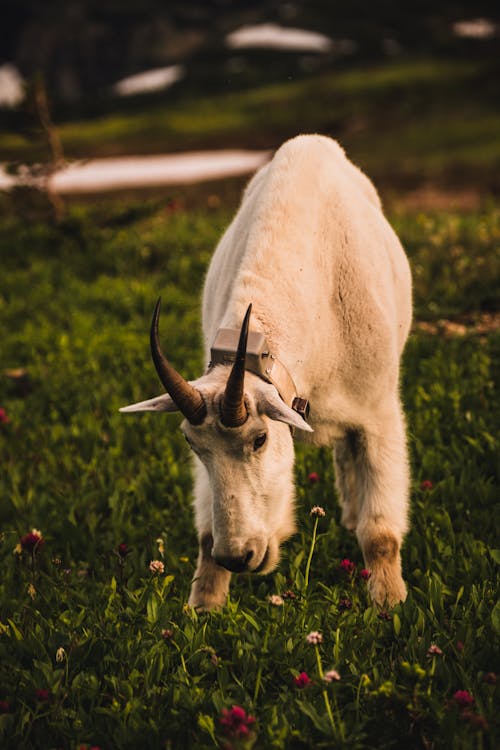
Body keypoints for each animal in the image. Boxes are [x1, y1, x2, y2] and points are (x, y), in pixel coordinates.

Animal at [120, 135, 410, 612]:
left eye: (260, 439)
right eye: (192, 443)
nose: (238, 556)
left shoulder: (378, 412)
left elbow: (381, 534)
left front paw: (389, 605)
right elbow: (204, 536)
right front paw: (203, 607)